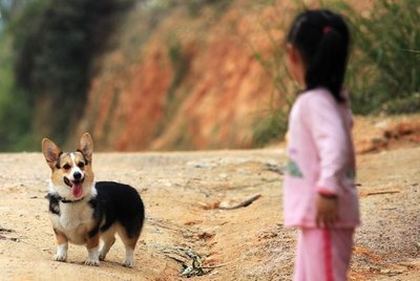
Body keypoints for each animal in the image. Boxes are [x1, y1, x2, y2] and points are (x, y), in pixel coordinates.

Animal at [41, 132, 144, 266]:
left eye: (81, 164)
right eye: (66, 166)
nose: (77, 175)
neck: (72, 201)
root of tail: (133, 190)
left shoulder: (93, 230)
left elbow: (92, 246)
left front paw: (92, 260)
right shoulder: (59, 229)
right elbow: (63, 244)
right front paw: (61, 256)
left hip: (128, 230)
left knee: (130, 245)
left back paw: (128, 261)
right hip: (108, 227)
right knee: (111, 239)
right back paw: (101, 254)